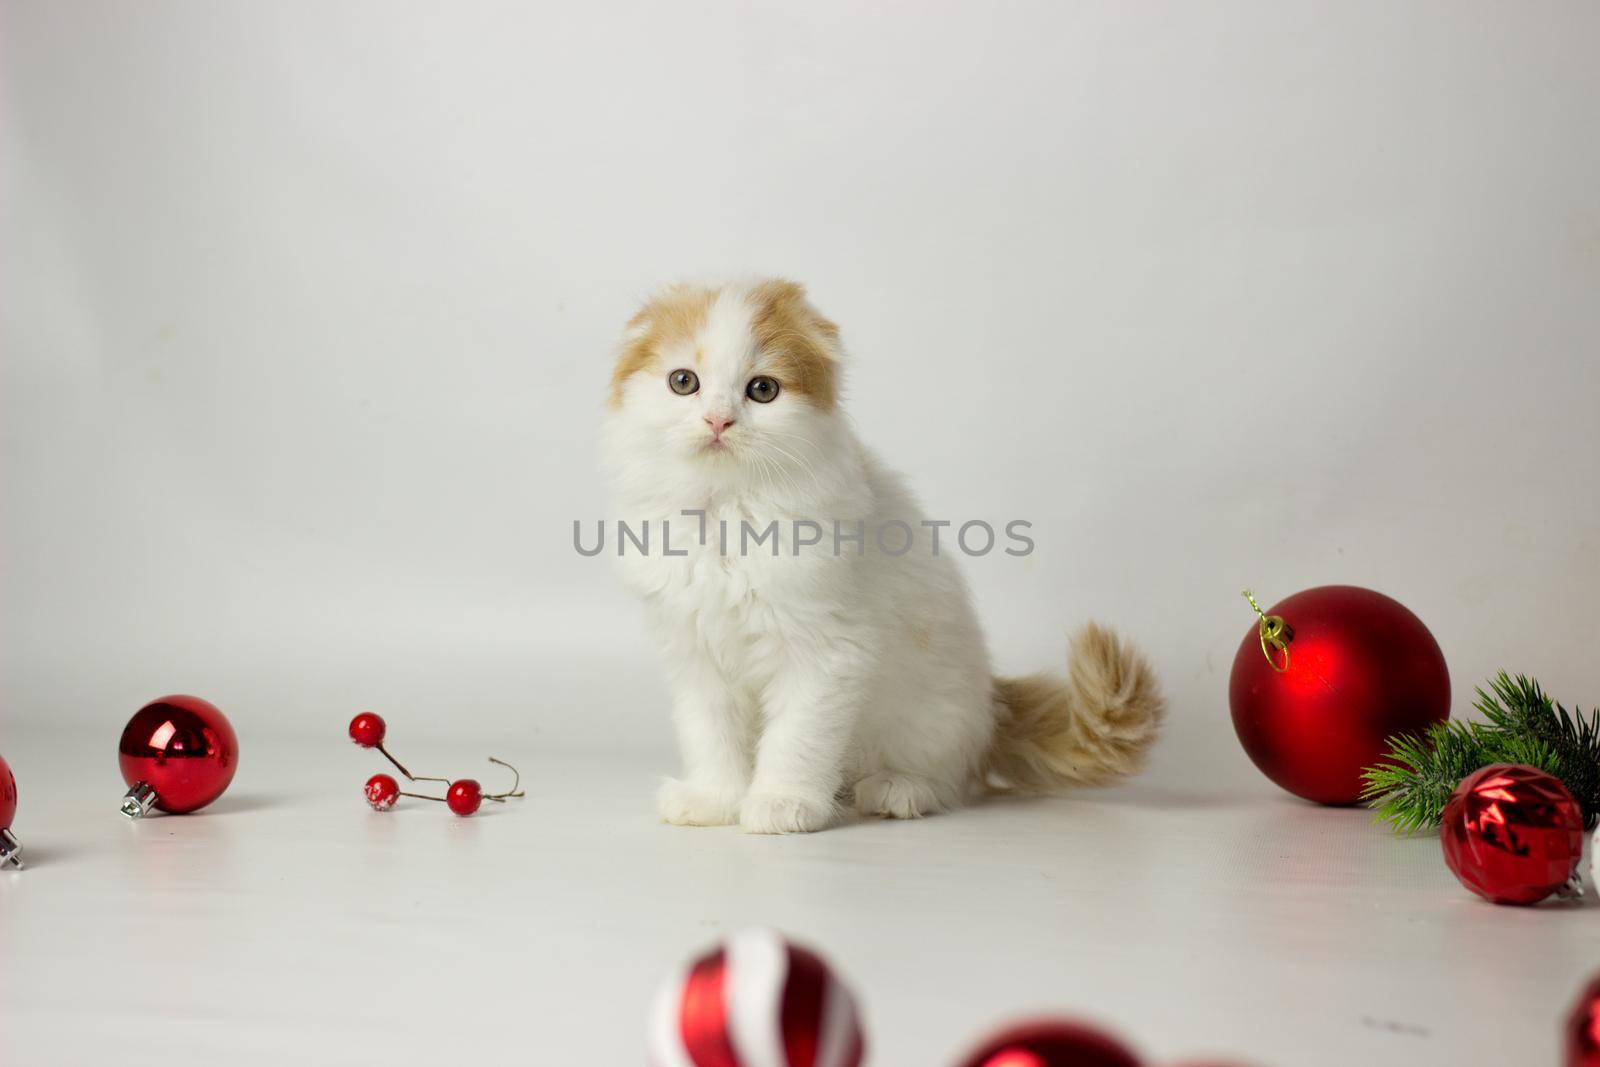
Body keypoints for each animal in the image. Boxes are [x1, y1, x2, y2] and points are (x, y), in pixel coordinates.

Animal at [601, 281, 1164, 831]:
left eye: (762, 390)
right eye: (684, 382)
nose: (718, 420)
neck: (726, 512)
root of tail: (994, 705)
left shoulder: (825, 652)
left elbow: (795, 739)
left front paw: (781, 802)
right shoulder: (696, 654)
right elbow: (712, 736)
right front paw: (716, 799)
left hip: (935, 716)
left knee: (952, 780)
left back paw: (898, 790)